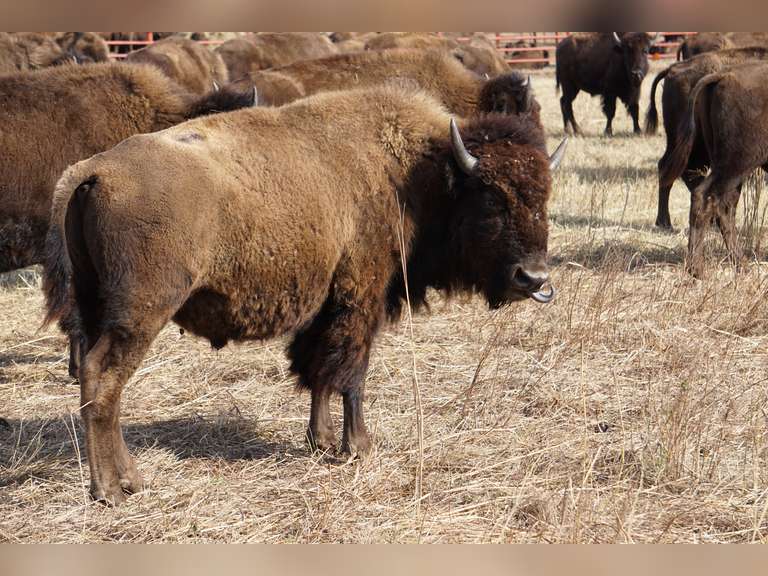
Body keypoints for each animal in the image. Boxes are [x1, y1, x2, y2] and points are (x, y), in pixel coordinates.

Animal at [43, 85, 567, 504]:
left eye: (544, 197)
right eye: (492, 198)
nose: (533, 278)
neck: (417, 171)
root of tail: (94, 171)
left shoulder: (324, 305)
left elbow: (317, 371)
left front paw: (321, 440)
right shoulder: (360, 298)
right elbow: (351, 373)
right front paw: (359, 446)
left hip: (96, 306)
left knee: (95, 381)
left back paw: (125, 480)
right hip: (140, 314)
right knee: (103, 381)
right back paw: (113, 489)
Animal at [666, 63, 768, 277]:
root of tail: (724, 76)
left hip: (731, 171)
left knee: (725, 207)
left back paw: (740, 265)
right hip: (735, 165)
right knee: (705, 197)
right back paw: (697, 269)